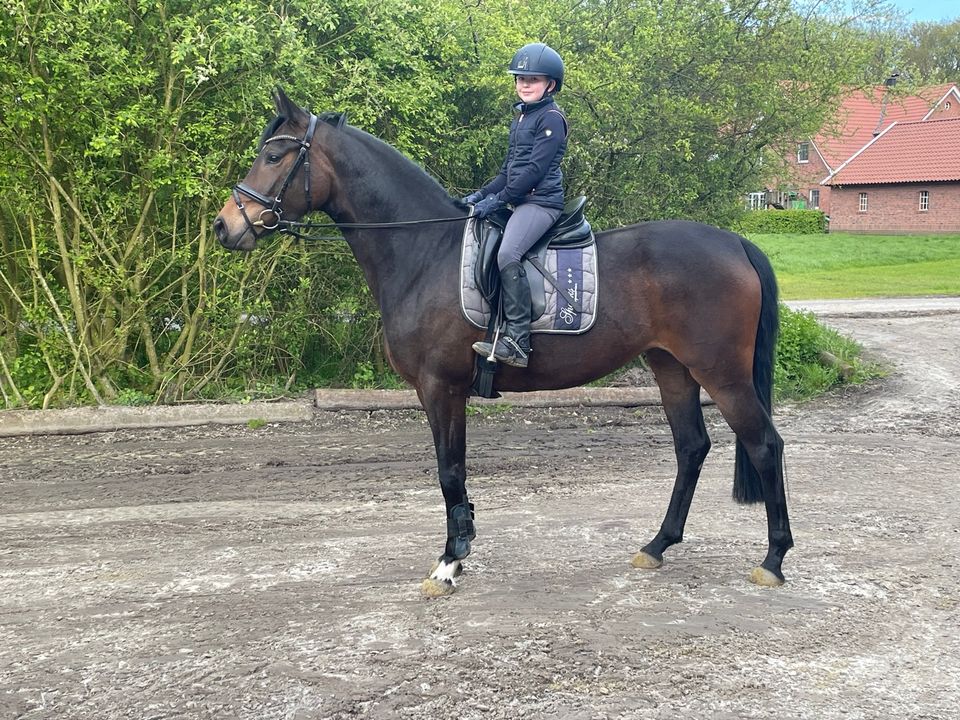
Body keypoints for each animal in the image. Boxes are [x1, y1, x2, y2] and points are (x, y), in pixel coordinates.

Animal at [214, 88, 792, 596]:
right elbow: (454, 472)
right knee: (691, 447)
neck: (425, 250)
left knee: (765, 444)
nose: (225, 227)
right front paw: (461, 546)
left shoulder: (440, 387)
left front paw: (450, 562)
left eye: (273, 155)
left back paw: (773, 559)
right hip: (671, 367)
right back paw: (657, 545)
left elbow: (450, 471)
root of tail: (735, 243)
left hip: (721, 372)